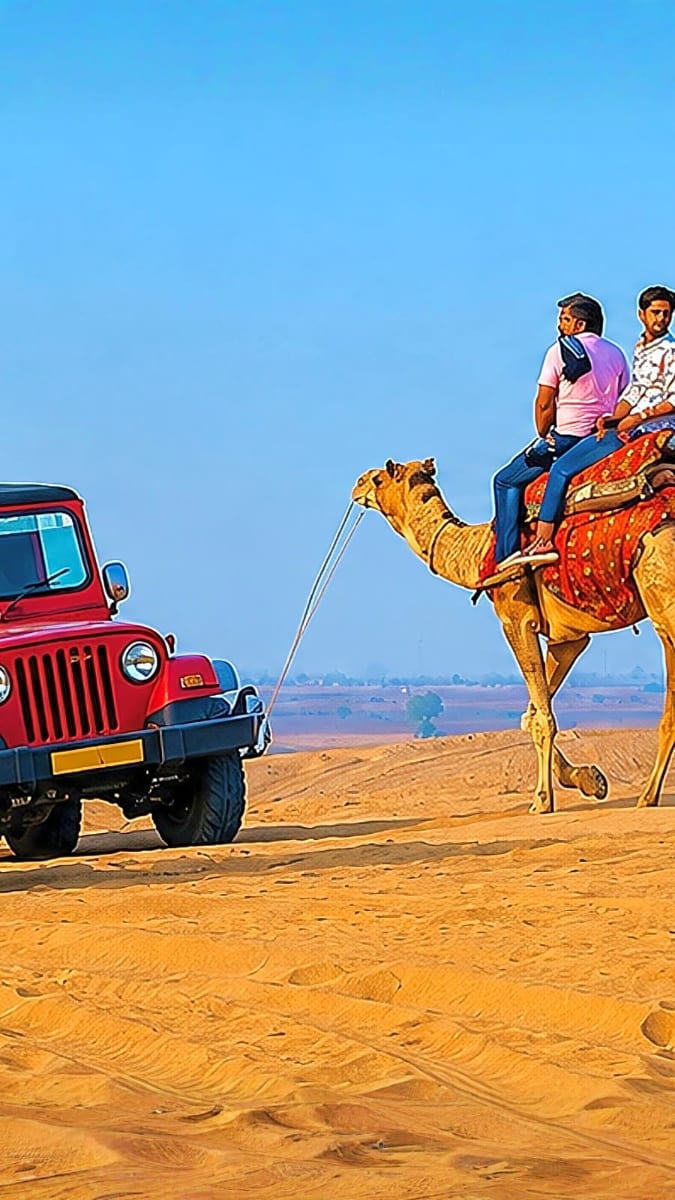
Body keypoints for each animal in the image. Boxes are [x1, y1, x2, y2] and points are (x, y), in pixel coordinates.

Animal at [352, 457, 675, 813]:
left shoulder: (516, 617)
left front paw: (542, 801)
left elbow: (543, 716)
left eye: (378, 479)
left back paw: (646, 798)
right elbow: (531, 713)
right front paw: (589, 780)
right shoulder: (569, 638)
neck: (478, 553)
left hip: (663, 594)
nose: (356, 485)